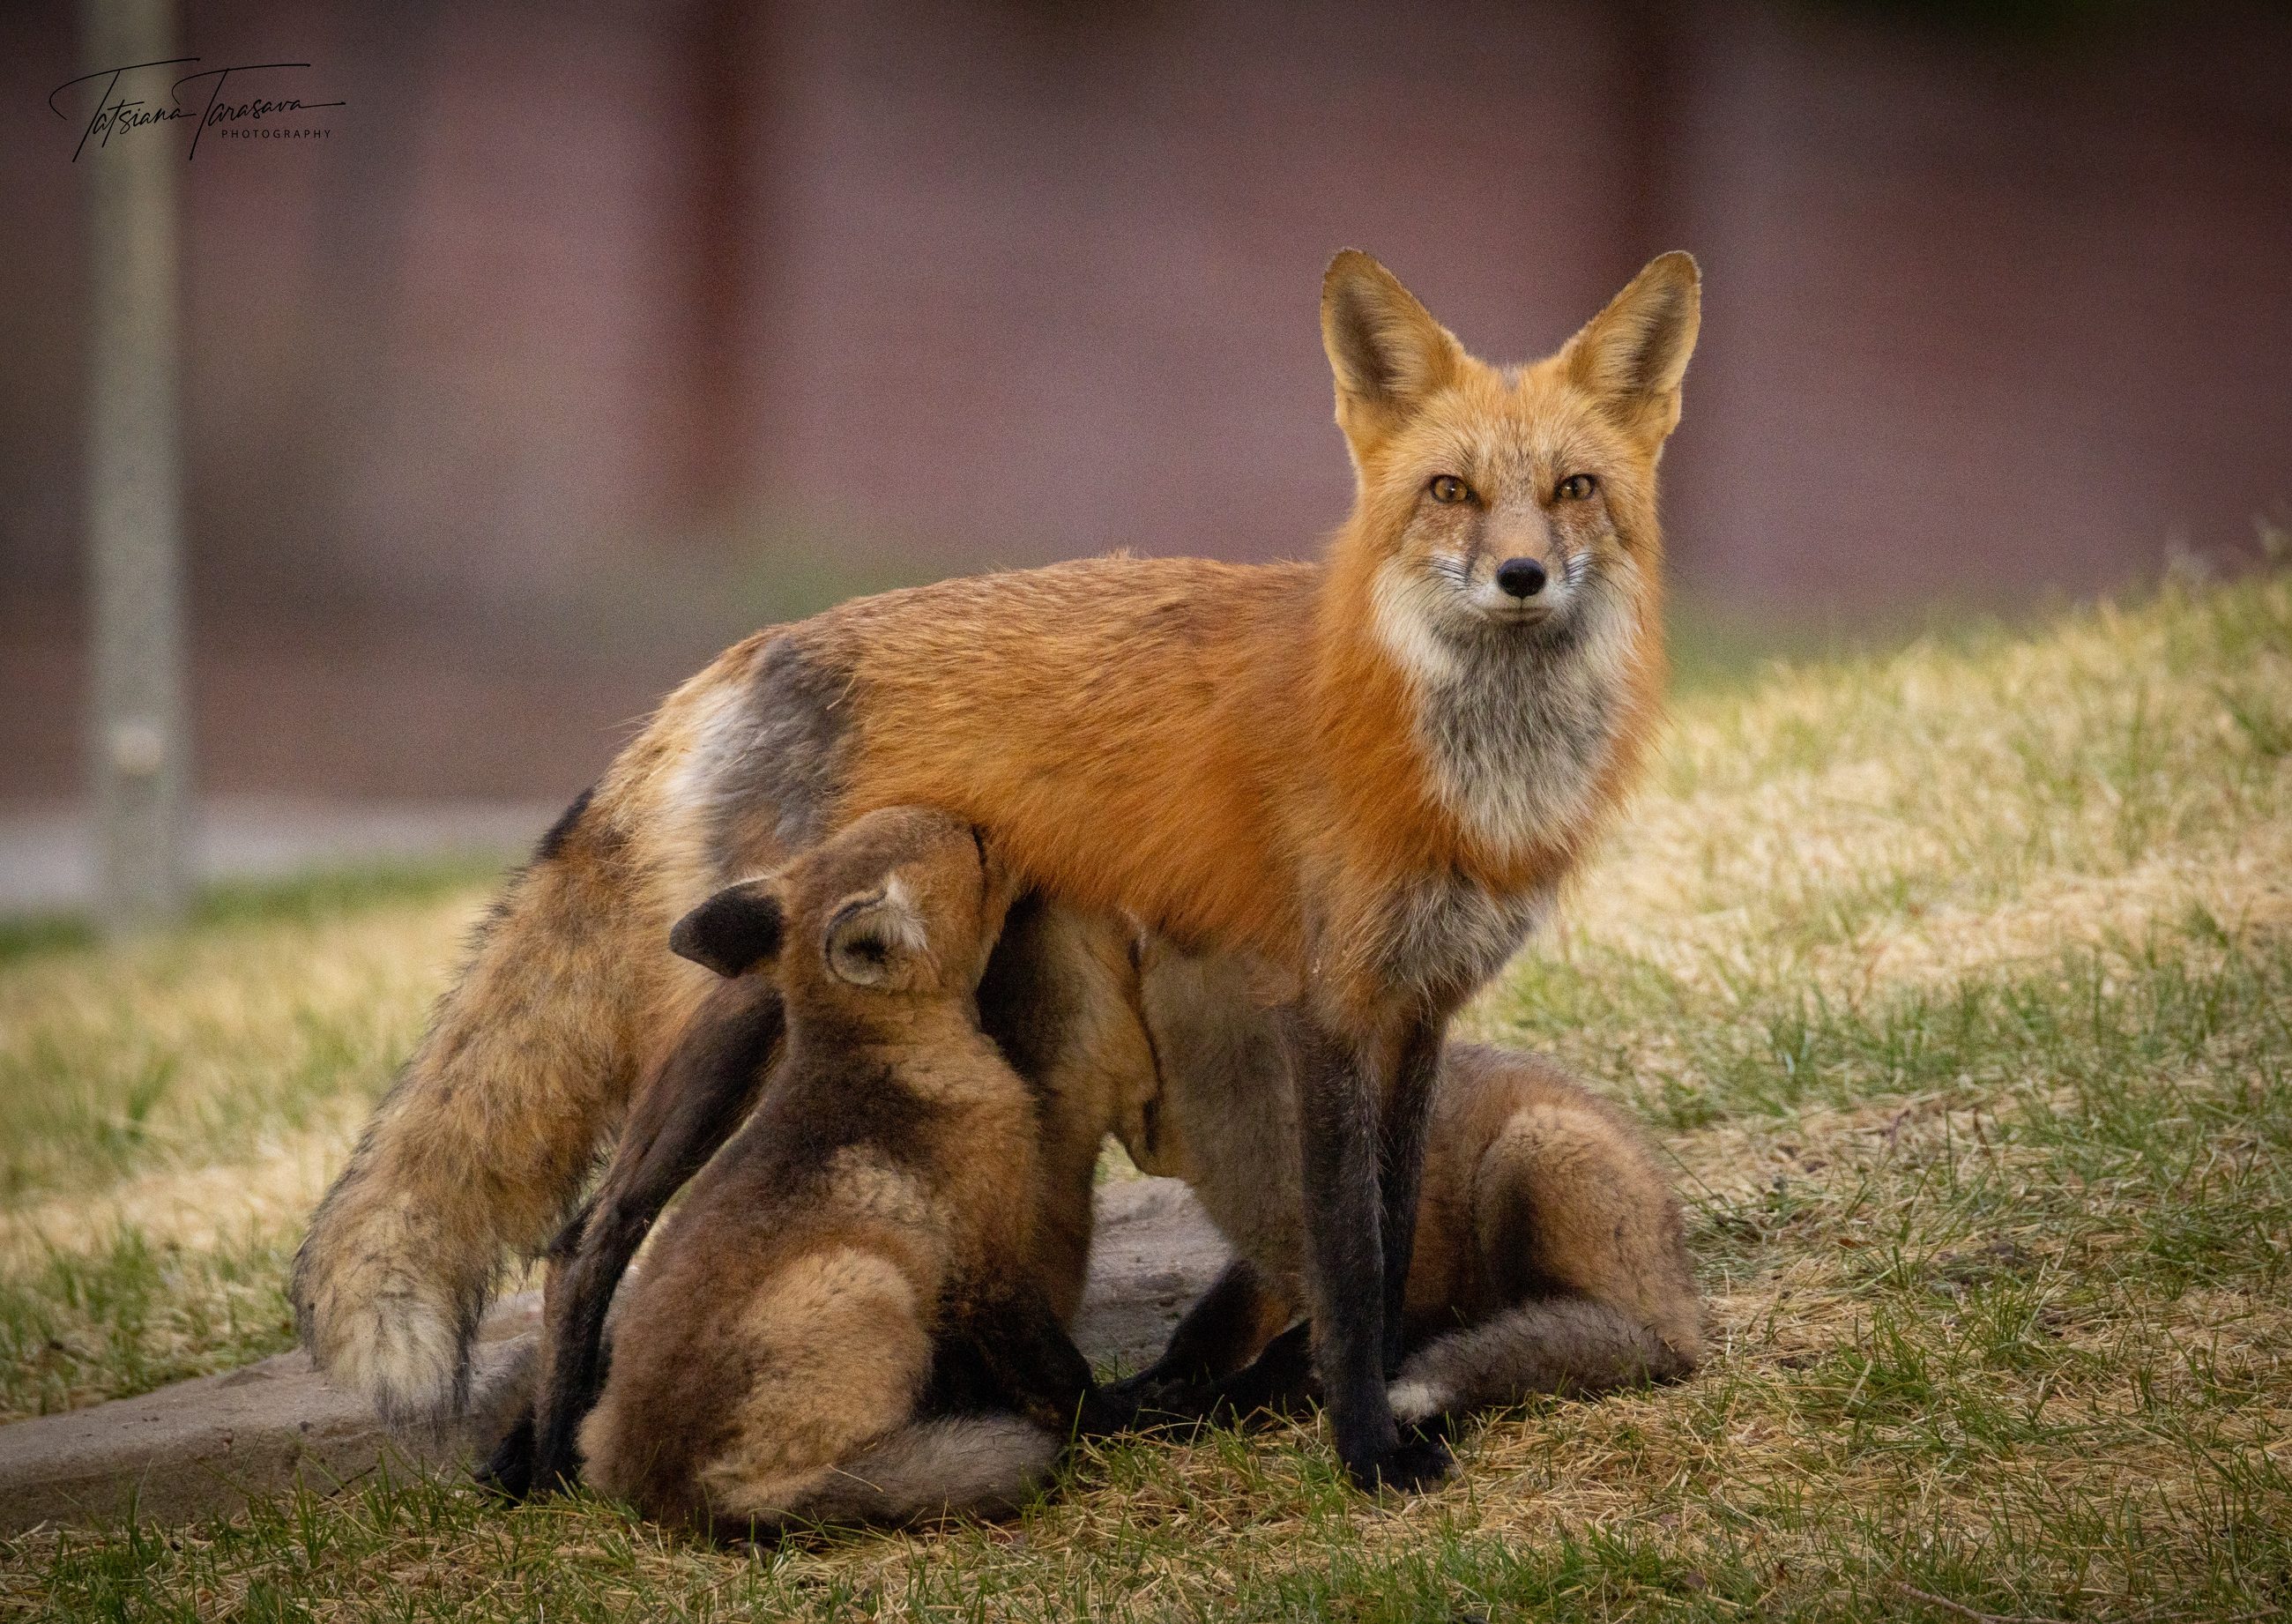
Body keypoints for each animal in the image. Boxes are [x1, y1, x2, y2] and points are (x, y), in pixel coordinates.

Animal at [566, 807, 1125, 1533]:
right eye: (977, 847)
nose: (1005, 821)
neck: (890, 1054)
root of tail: (666, 1498)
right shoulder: (989, 1262)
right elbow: (1056, 1369)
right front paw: (1122, 1423)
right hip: (869, 1283)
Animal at [1107, 944, 1702, 1427]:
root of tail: (1685, 1322)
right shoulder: (1266, 1266)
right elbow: (1205, 1332)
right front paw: (1135, 1397)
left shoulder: (1409, 1270)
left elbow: (1296, 1356)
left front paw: (1192, 1409)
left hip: (1525, 1154)